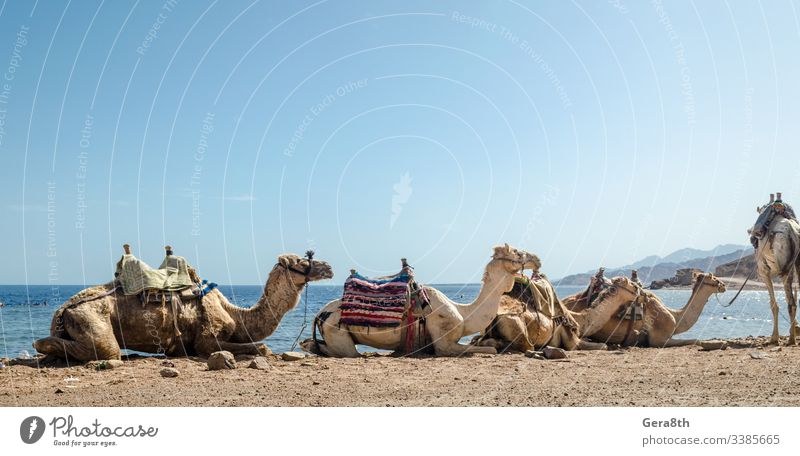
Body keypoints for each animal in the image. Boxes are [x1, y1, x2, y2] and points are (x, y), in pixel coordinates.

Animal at [32, 251, 332, 362]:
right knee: (106, 349)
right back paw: (40, 344)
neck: (236, 315)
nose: (328, 267)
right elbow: (262, 347)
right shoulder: (206, 340)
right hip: (91, 319)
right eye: (301, 260)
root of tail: (62, 310)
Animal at [304, 244, 540, 358]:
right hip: (337, 331)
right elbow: (488, 350)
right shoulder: (444, 342)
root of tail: (319, 314)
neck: (463, 314)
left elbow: (490, 344)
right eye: (517, 252)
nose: (537, 259)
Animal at [478, 274, 640, 352]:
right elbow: (603, 346)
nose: (639, 289)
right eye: (631, 285)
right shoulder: (572, 342)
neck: (580, 320)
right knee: (526, 346)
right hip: (515, 322)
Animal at [752, 193, 800, 346]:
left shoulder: (763, 271)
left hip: (783, 269)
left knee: (791, 303)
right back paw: (792, 337)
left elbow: (773, 304)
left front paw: (774, 338)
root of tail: (793, 233)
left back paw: (791, 340)